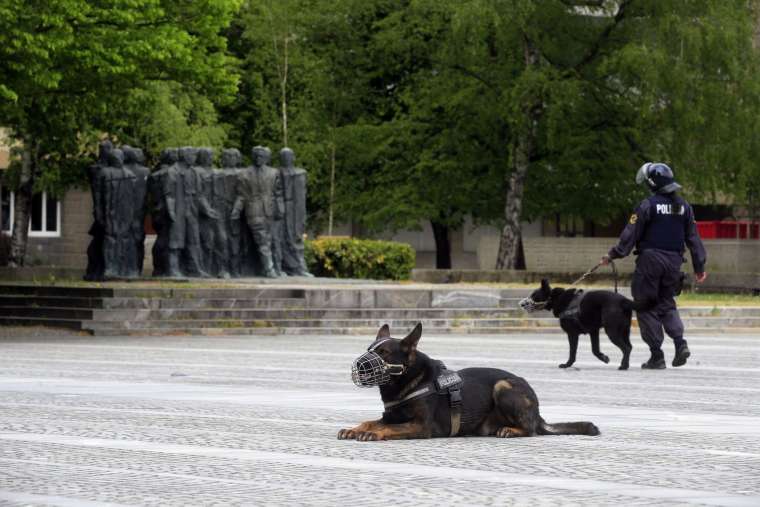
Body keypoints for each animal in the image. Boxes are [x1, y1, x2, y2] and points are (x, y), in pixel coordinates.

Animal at [338, 326, 600, 440]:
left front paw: (372, 433)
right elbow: (370, 421)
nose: (358, 366)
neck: (408, 382)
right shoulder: (390, 416)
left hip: (502, 387)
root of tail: (538, 412)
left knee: (531, 430)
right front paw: (355, 429)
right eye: (370, 349)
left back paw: (512, 430)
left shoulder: (421, 426)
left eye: (383, 353)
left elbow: (388, 428)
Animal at [520, 280, 652, 372]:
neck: (556, 298)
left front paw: (567, 364)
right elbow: (595, 350)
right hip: (624, 331)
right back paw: (626, 364)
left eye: (534, 296)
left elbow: (572, 352)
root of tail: (623, 300)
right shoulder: (594, 331)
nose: (521, 304)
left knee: (626, 348)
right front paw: (603, 357)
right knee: (629, 346)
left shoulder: (572, 334)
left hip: (612, 331)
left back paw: (623, 366)